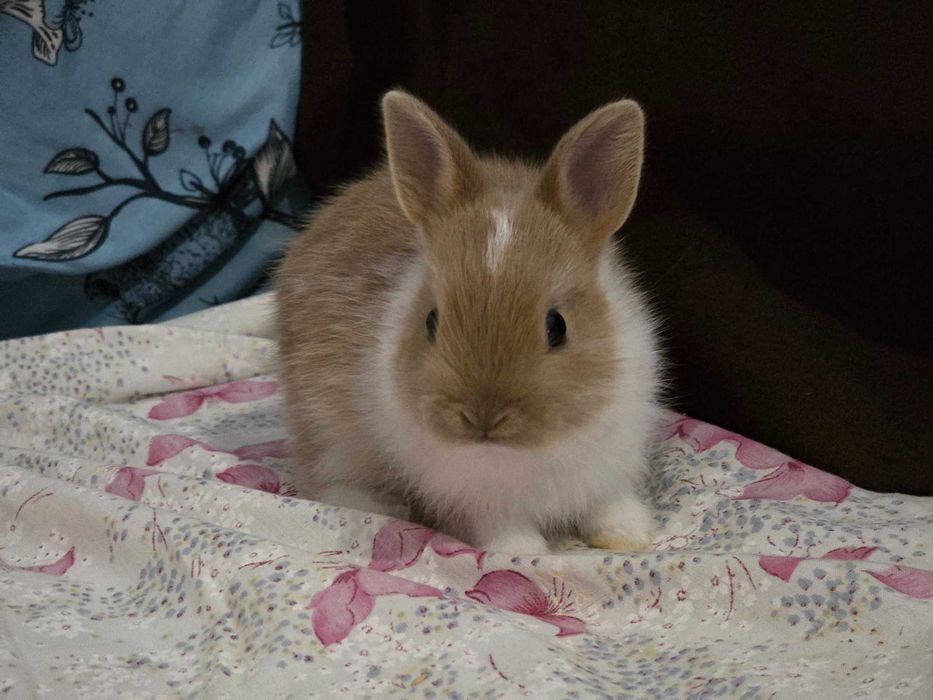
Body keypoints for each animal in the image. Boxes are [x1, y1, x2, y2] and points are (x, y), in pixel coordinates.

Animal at [275, 90, 662, 554]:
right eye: (431, 321)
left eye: (558, 326)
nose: (482, 417)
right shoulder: (480, 502)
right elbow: (504, 526)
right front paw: (525, 554)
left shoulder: (610, 464)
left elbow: (610, 501)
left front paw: (630, 536)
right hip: (328, 431)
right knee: (324, 479)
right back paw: (384, 506)